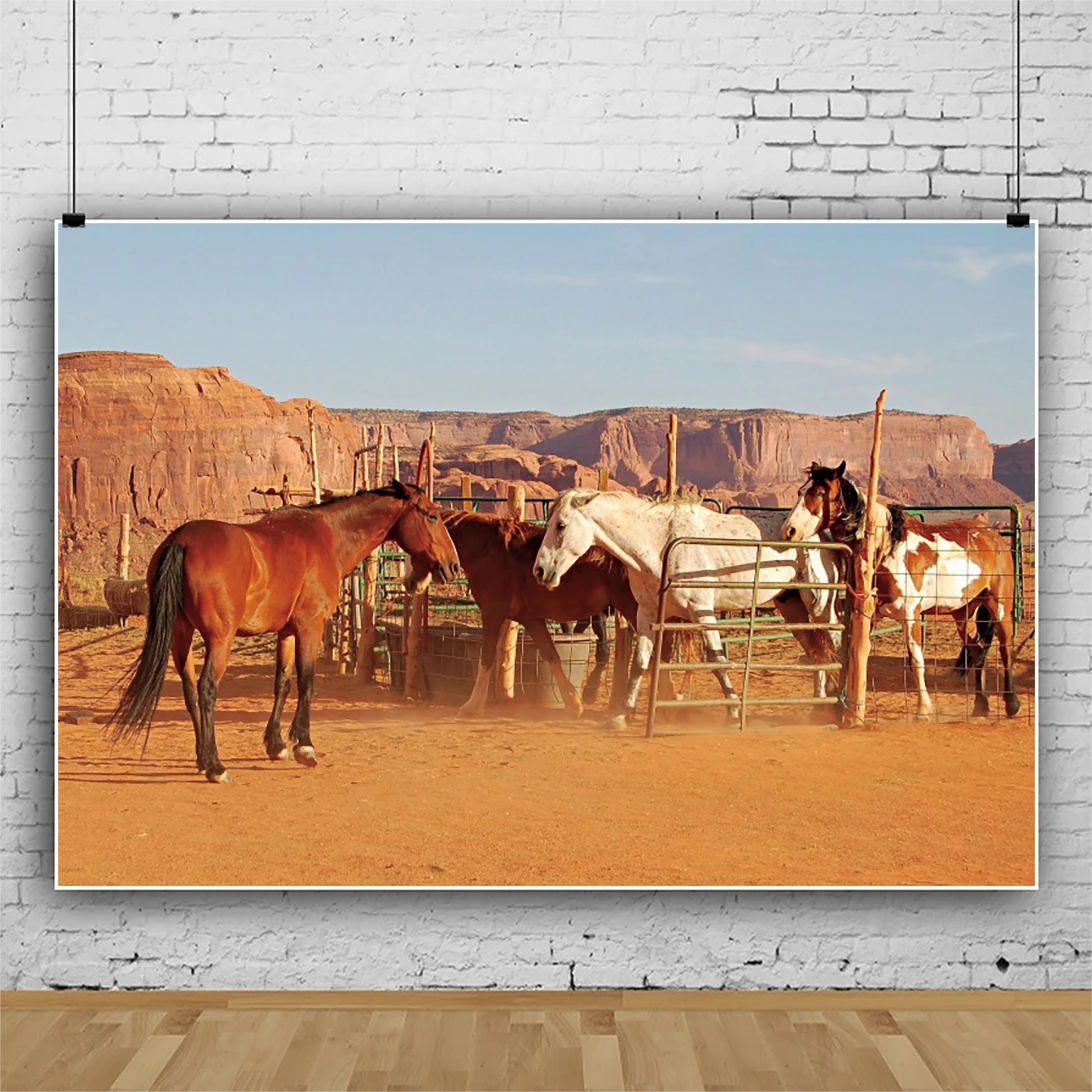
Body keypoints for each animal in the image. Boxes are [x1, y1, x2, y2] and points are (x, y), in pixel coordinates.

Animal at [108, 482, 461, 782]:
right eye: (431, 515)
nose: (453, 566)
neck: (328, 536)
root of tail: (181, 540)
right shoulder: (309, 626)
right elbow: (307, 682)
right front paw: (304, 746)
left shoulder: (287, 632)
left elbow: (283, 682)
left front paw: (276, 745)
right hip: (219, 639)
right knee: (207, 687)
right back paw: (215, 765)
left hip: (181, 636)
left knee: (190, 688)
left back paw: (201, 758)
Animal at [440, 510, 639, 718]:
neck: (488, 549)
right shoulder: (531, 619)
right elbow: (551, 656)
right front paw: (573, 704)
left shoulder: (492, 612)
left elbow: (486, 657)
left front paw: (472, 706)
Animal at [532, 490, 844, 729]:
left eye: (561, 525)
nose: (540, 571)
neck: (660, 545)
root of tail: (819, 533)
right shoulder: (646, 614)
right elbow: (640, 663)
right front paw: (622, 715)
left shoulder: (702, 612)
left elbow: (717, 661)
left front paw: (733, 712)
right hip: (792, 607)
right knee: (816, 650)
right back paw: (817, 706)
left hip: (819, 603)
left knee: (833, 643)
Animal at [781, 461, 1021, 719]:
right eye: (800, 491)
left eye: (819, 493)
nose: (789, 531)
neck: (885, 548)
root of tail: (994, 536)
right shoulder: (870, 615)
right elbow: (857, 655)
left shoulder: (911, 615)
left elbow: (916, 660)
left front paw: (923, 709)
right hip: (963, 612)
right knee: (977, 650)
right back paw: (980, 704)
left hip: (1000, 607)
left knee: (1005, 649)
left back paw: (1012, 704)